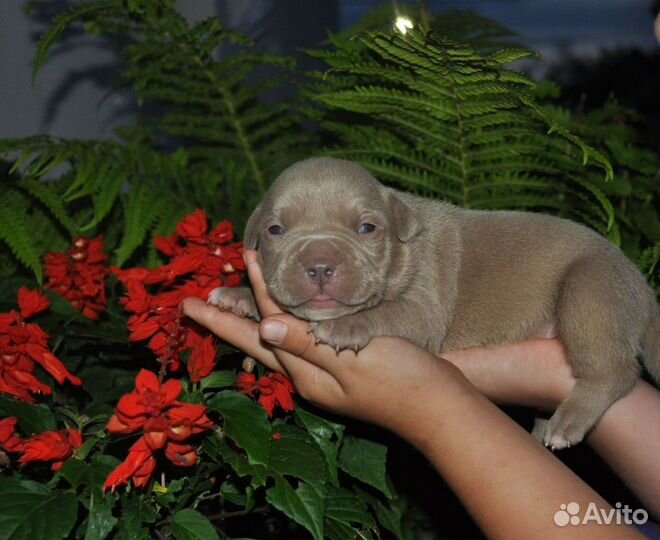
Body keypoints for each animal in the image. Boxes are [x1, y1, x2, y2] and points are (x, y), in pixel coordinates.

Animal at [210, 157, 660, 452]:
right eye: (275, 230)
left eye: (367, 228)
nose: (319, 265)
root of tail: (643, 289)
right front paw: (238, 295)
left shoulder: (422, 311)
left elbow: (385, 311)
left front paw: (344, 326)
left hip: (590, 291)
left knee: (616, 371)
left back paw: (567, 422)